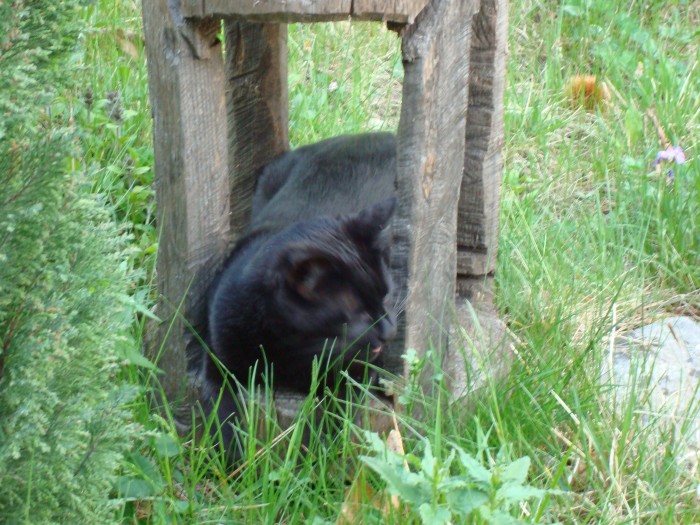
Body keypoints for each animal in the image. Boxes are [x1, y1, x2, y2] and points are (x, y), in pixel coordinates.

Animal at [202, 131, 400, 458]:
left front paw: (318, 452)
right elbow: (221, 408)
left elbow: (337, 407)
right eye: (359, 313)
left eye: (385, 296)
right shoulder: (216, 359)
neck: (294, 353)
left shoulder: (357, 374)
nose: (389, 331)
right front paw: (233, 455)